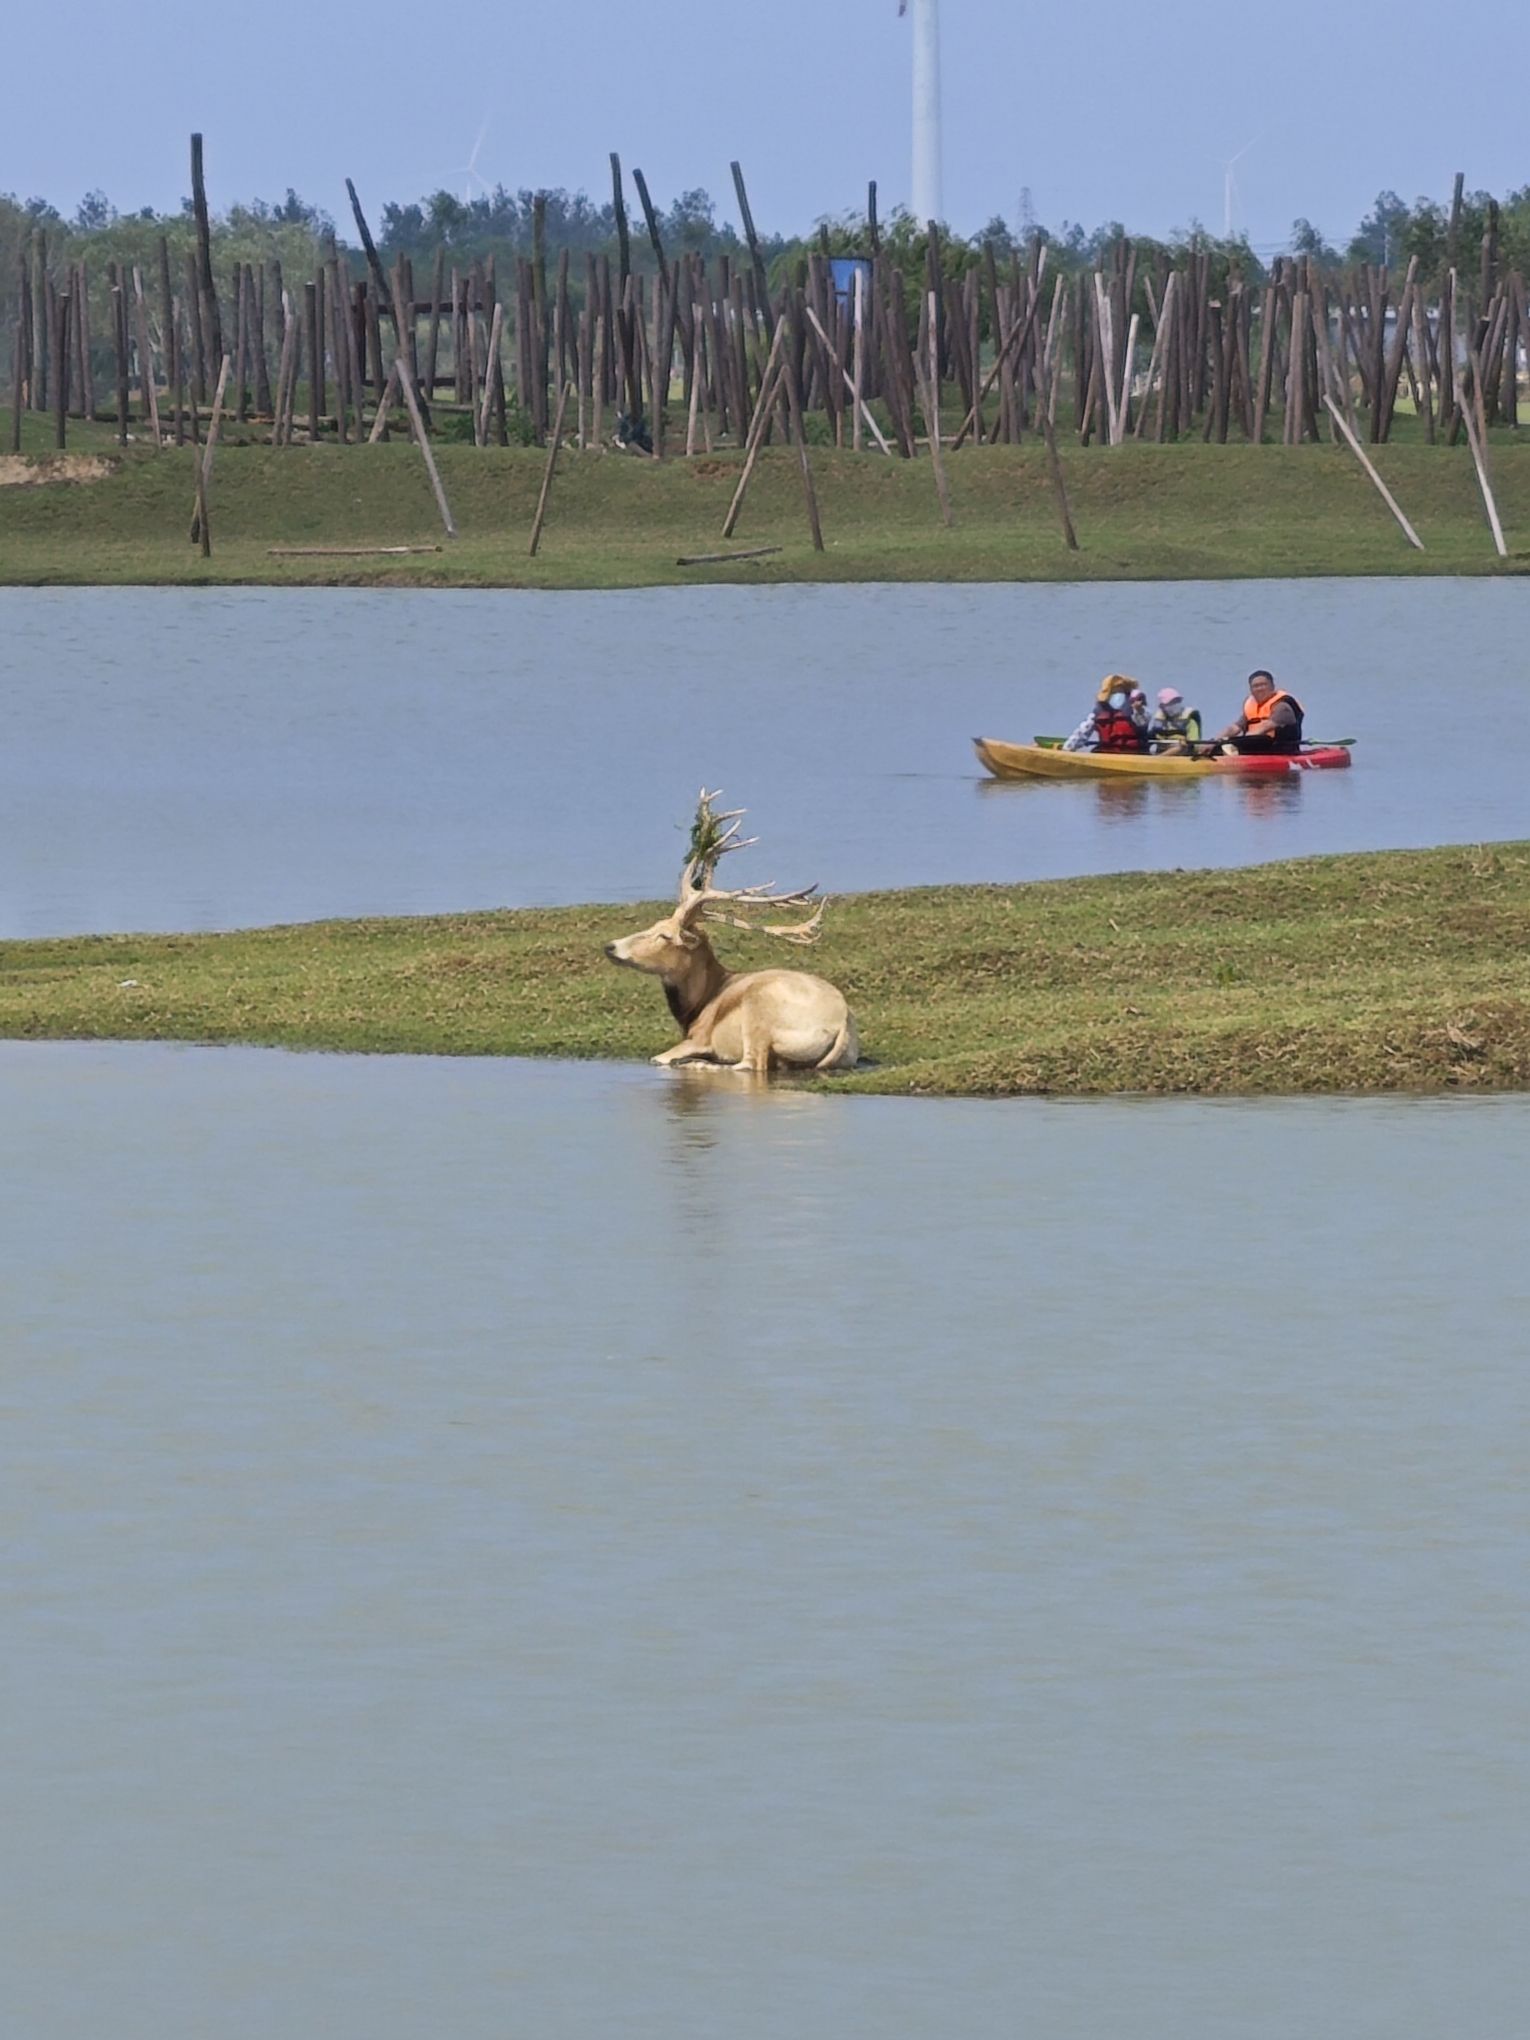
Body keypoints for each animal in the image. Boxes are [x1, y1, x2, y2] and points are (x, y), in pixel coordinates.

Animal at [604, 792, 860, 1075]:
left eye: (665, 936)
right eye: (653, 926)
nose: (610, 946)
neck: (697, 1006)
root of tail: (841, 1025)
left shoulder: (699, 1036)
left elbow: (658, 1058)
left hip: (758, 1012)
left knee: (752, 1064)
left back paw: (696, 1063)